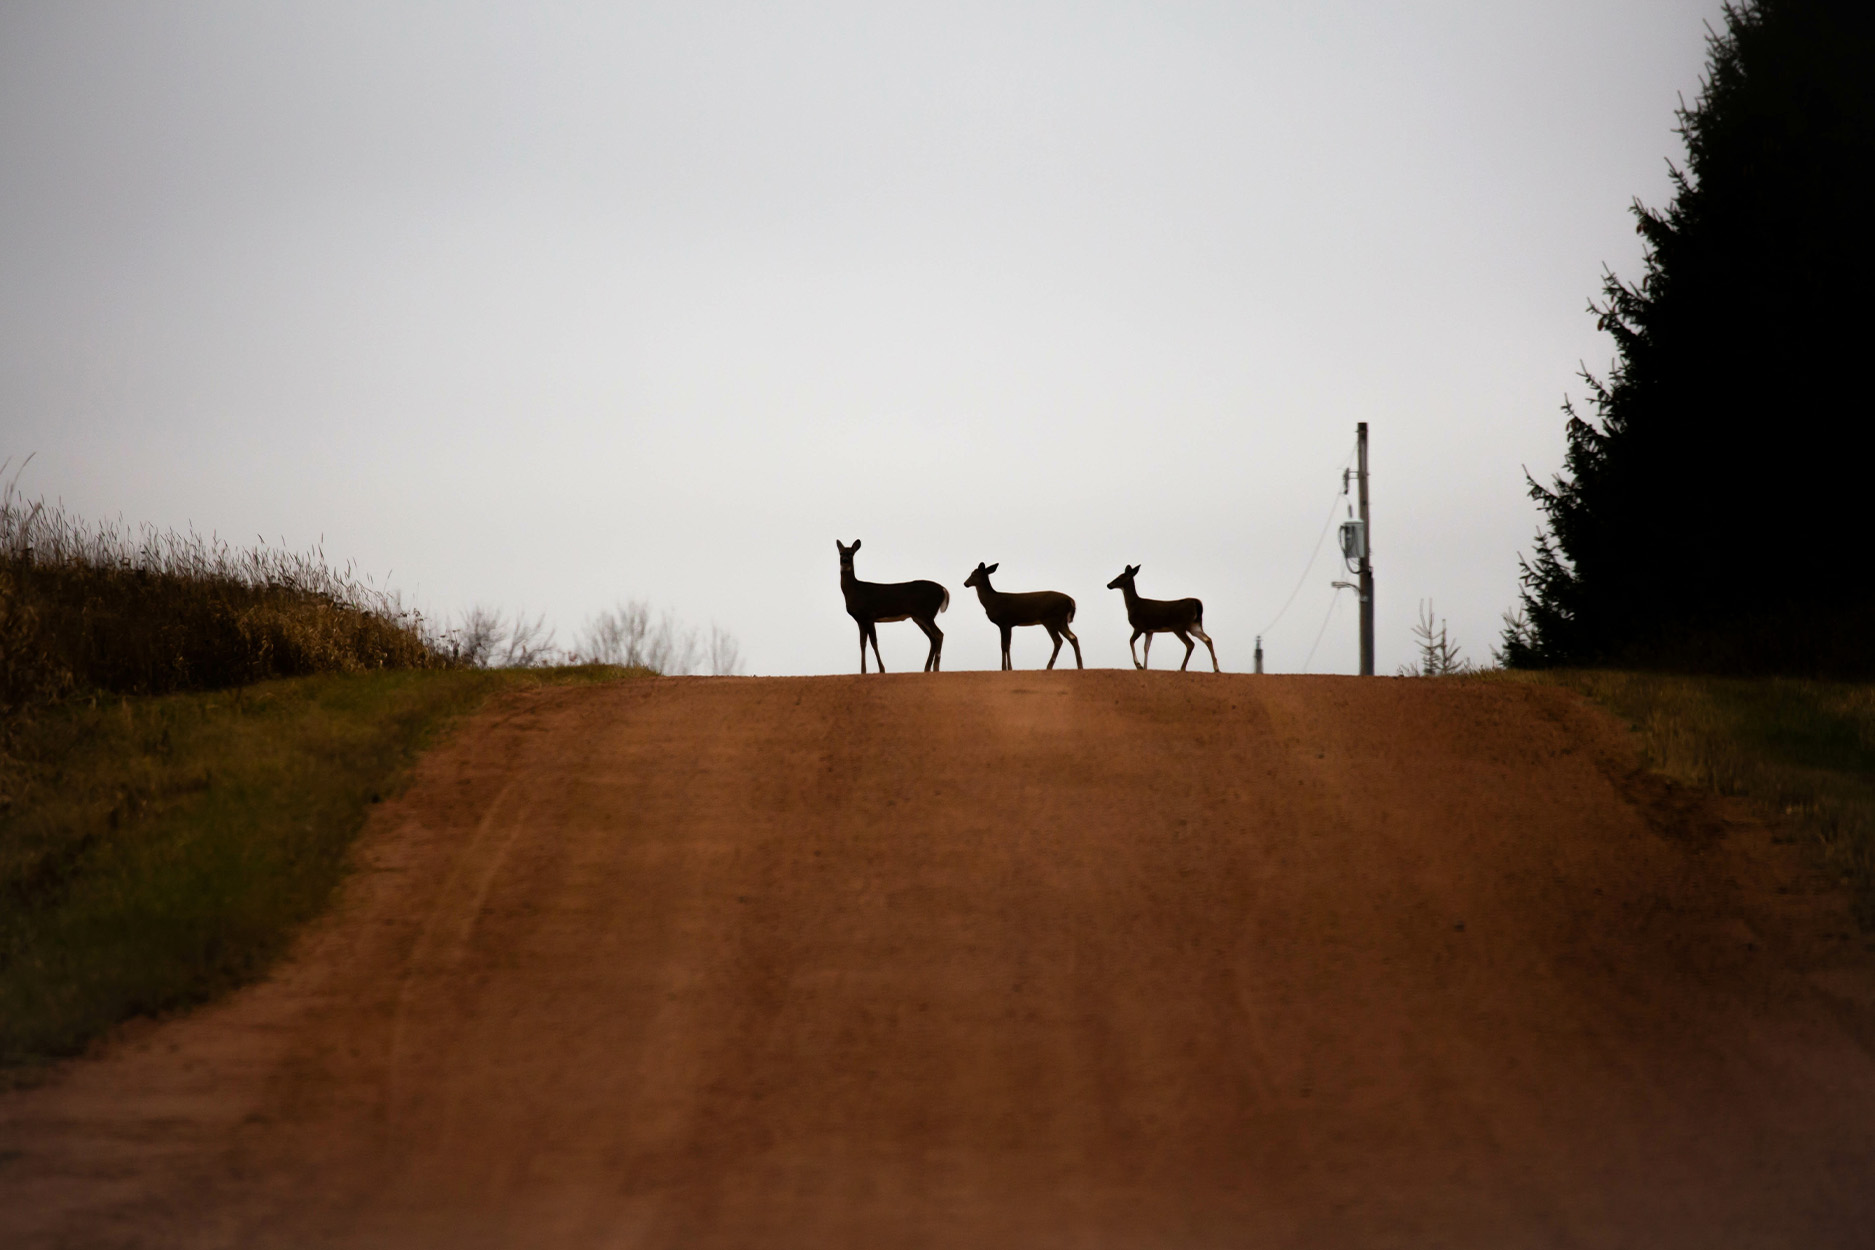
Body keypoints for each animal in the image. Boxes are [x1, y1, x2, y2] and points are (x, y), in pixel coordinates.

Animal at [840, 539, 952, 674]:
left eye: (851, 553)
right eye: (840, 553)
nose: (844, 561)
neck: (854, 591)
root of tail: (944, 590)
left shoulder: (869, 615)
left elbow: (874, 642)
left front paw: (882, 669)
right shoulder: (860, 619)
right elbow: (862, 643)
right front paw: (863, 671)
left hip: (926, 613)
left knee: (939, 634)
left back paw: (935, 668)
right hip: (919, 617)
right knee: (933, 638)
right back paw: (926, 669)